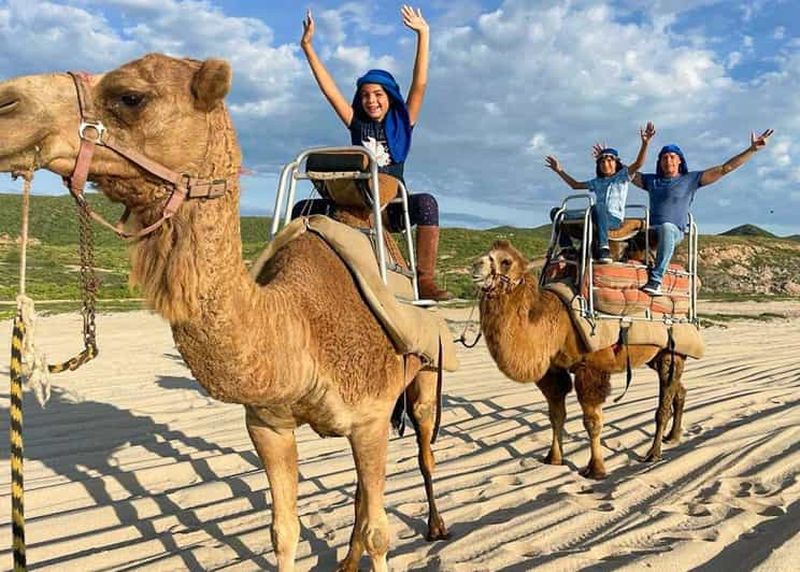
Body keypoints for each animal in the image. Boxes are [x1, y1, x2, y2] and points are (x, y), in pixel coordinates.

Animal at [0, 54, 450, 571]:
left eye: (131, 97)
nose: (5, 103)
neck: (296, 324)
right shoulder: (268, 425)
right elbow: (283, 531)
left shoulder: (371, 418)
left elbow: (380, 531)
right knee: (361, 493)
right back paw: (347, 560)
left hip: (424, 373)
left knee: (423, 444)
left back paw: (435, 525)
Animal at [472, 239, 687, 479]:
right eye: (487, 253)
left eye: (506, 261)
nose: (476, 266)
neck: (556, 323)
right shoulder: (553, 370)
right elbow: (556, 415)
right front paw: (553, 458)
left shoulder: (591, 368)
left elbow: (592, 422)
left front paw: (596, 469)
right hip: (656, 357)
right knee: (679, 389)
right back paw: (673, 437)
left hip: (672, 351)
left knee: (664, 401)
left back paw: (653, 453)